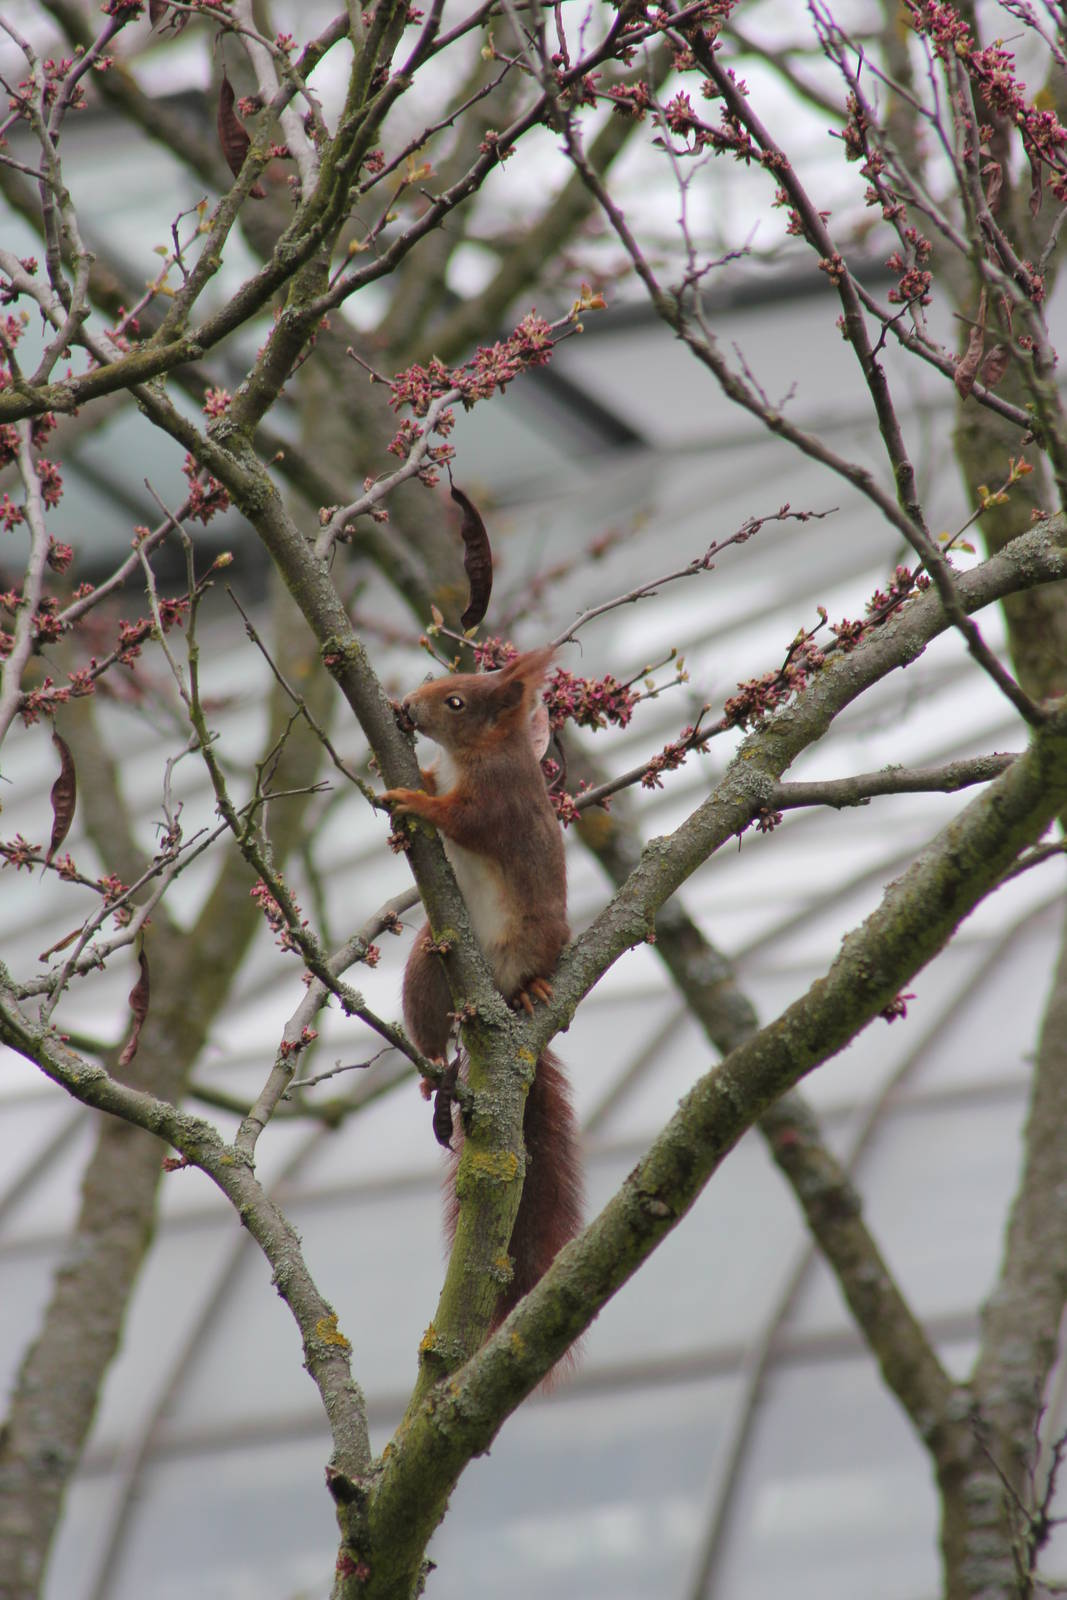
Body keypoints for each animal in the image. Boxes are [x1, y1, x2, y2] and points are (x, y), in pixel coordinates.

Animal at [381, 645, 583, 1329]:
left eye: (457, 702)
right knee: (430, 1028)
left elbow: (462, 818)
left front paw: (410, 801)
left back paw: (530, 994)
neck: (472, 754)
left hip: (538, 939)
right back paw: (431, 1068)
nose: (407, 707)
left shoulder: (497, 798)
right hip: (428, 967)